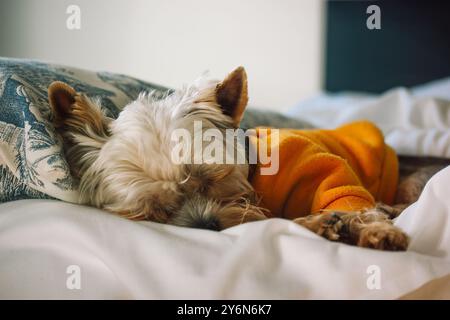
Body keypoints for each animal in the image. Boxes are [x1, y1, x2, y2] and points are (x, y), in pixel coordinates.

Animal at [47, 67, 442, 251]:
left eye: (211, 179)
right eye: (156, 209)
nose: (206, 225)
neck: (256, 176)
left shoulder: (324, 170)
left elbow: (352, 201)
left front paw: (376, 231)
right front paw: (320, 225)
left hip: (413, 181)